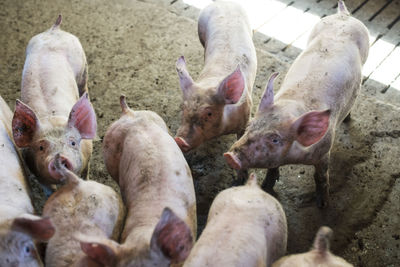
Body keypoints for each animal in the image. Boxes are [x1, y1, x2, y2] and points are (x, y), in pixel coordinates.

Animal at [11, 15, 96, 191]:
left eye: (73, 142)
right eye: (41, 147)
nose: (59, 158)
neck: (53, 117)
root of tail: (54, 29)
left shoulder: (88, 152)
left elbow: (85, 173)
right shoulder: (36, 171)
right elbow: (48, 190)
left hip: (83, 67)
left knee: (83, 86)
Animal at [222, 0, 368, 208]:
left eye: (275, 139)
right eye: (250, 126)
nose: (230, 156)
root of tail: (344, 15)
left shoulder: (324, 152)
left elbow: (321, 177)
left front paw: (323, 205)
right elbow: (272, 168)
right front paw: (266, 187)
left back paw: (348, 119)